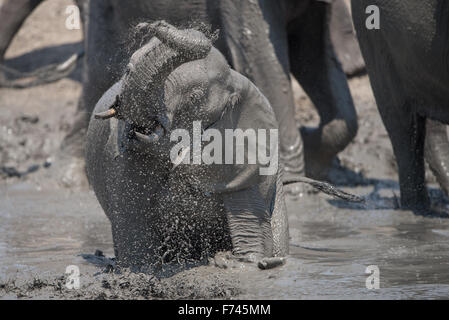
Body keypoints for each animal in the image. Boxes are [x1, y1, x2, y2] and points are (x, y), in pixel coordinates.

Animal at [80, 0, 358, 182]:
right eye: (127, 70)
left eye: (194, 97)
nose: (152, 25)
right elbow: (264, 62)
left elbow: (313, 55)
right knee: (98, 61)